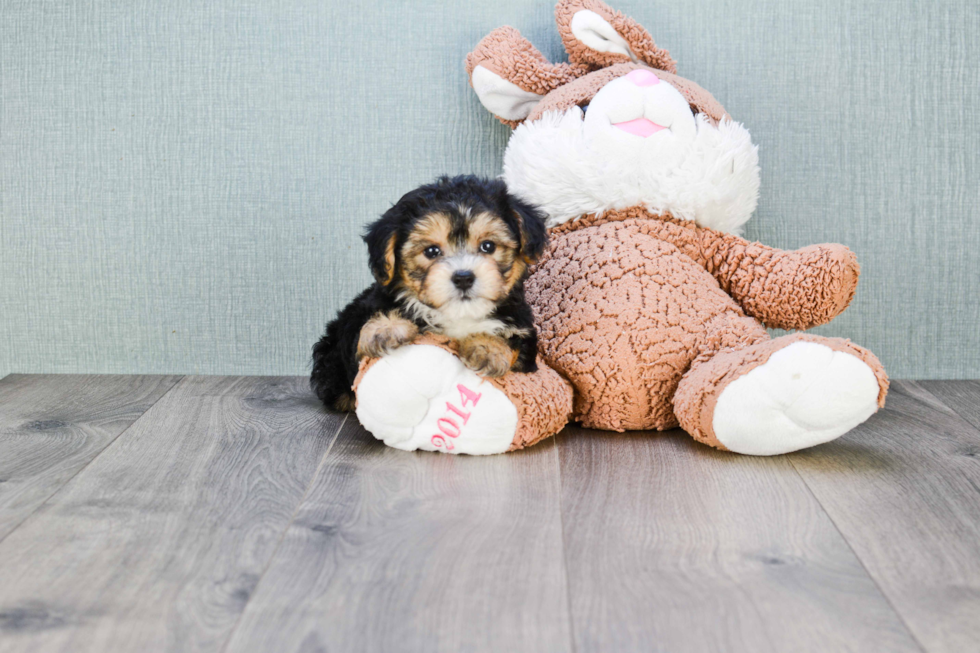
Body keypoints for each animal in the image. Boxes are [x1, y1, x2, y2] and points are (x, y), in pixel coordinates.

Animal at [310, 173, 548, 408]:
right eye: (431, 251)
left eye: (488, 246)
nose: (463, 277)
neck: (459, 315)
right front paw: (385, 328)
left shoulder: (524, 333)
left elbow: (511, 339)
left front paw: (488, 348)